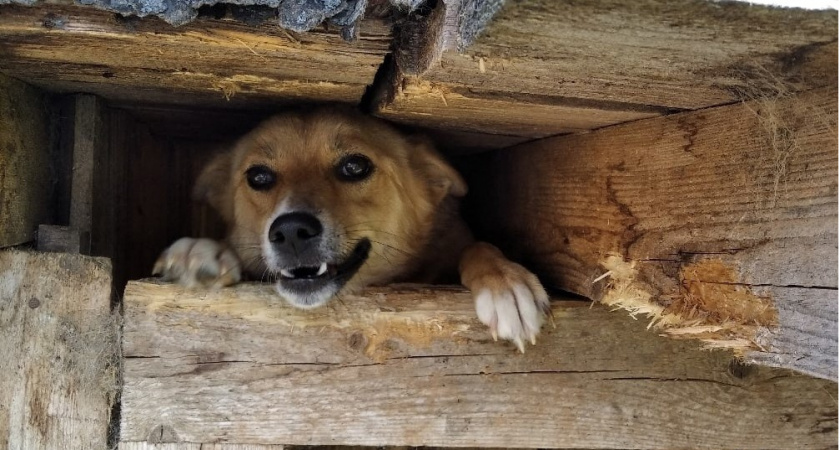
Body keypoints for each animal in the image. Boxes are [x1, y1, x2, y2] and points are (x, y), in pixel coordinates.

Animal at [154, 106, 552, 352]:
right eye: (259, 177)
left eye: (355, 166)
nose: (291, 231)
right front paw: (201, 251)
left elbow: (478, 246)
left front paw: (505, 282)